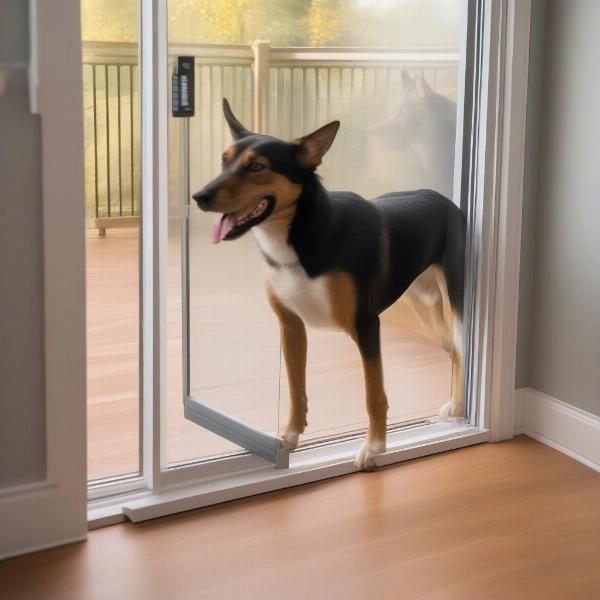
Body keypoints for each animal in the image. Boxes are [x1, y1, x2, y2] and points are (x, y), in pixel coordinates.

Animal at [192, 98, 464, 472]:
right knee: (451, 348)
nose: (199, 196)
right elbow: (296, 388)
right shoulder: (291, 326)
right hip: (424, 305)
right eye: (224, 160)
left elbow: (373, 394)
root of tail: (443, 199)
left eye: (257, 167)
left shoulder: (366, 326)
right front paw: (291, 435)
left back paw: (458, 406)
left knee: (462, 349)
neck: (299, 237)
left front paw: (375, 448)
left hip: (456, 300)